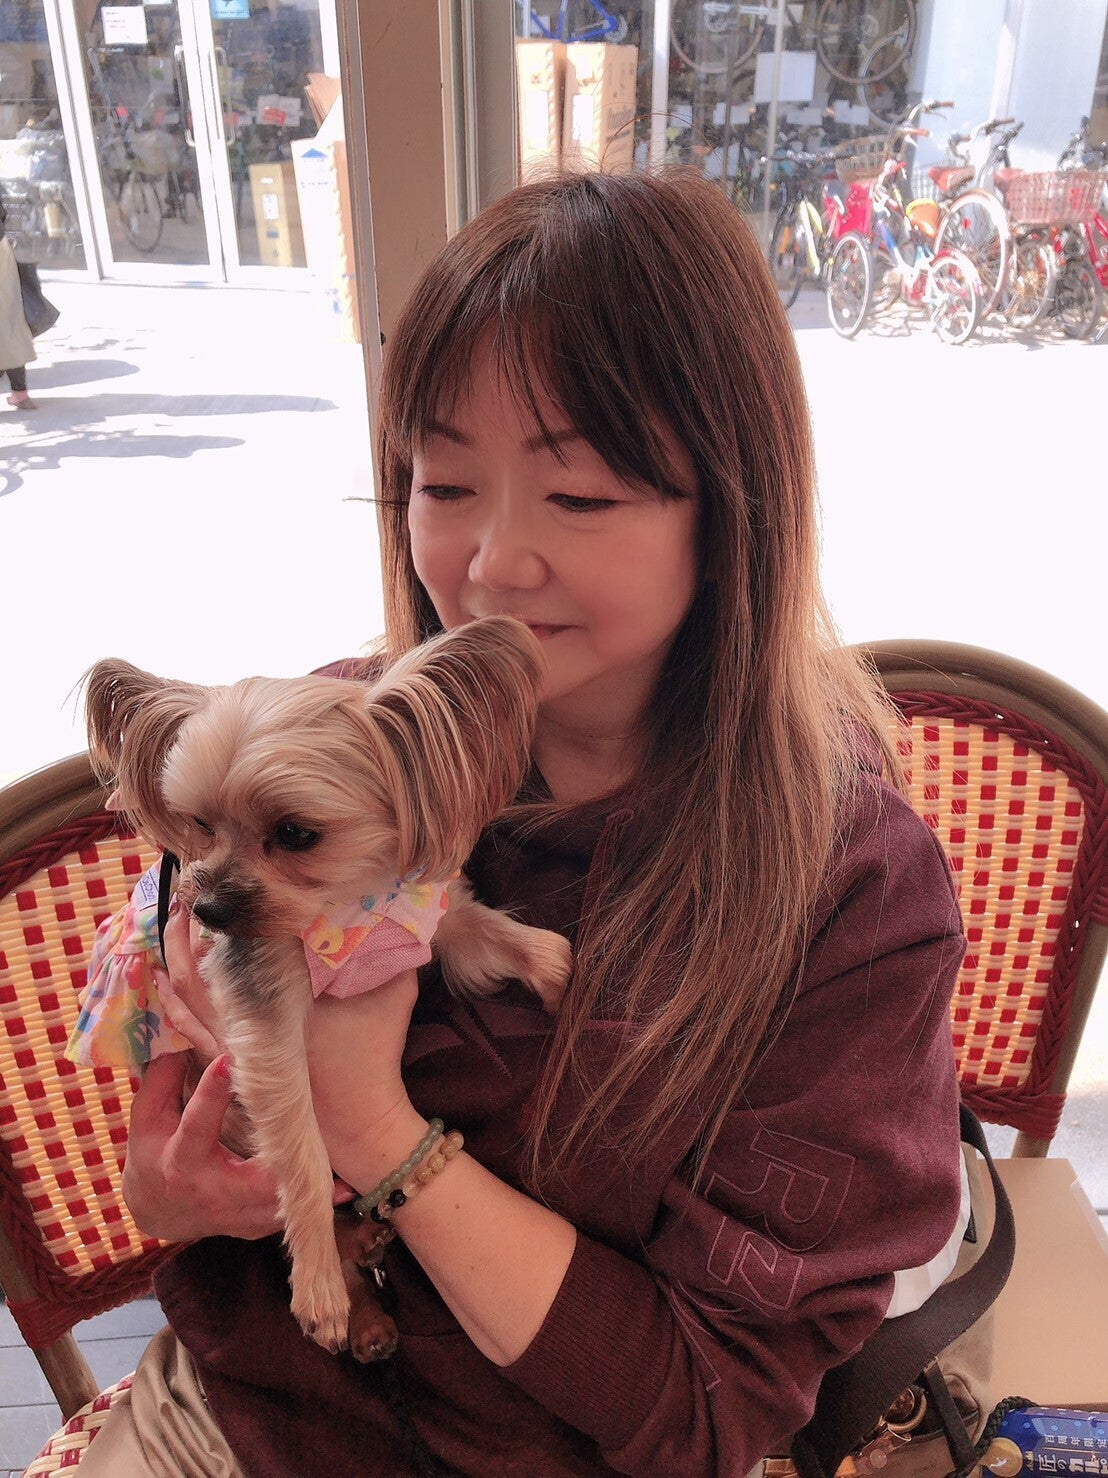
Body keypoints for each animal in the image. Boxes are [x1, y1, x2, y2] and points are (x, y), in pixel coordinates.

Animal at [84, 616, 572, 1356]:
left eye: (295, 833)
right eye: (199, 825)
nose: (208, 909)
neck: (347, 908)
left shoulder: (437, 923)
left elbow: (514, 939)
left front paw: (558, 981)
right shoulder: (266, 1014)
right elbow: (303, 1150)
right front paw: (316, 1286)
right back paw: (351, 1296)